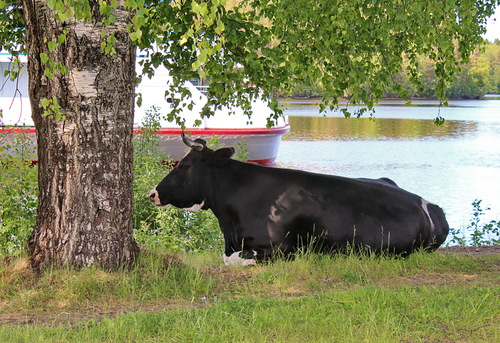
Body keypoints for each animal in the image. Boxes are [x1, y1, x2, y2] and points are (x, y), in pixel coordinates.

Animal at [148, 132, 450, 266]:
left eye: (184, 166)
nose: (153, 193)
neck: (229, 225)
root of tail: (431, 207)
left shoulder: (279, 249)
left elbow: (234, 260)